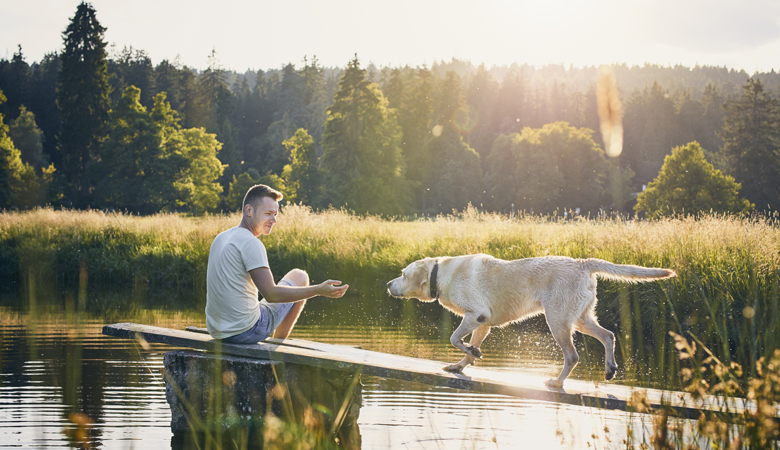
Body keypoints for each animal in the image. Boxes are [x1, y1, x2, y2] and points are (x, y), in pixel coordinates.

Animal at [386, 255, 676, 388]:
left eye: (403, 274)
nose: (388, 284)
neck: (442, 274)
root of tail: (582, 262)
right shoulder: (483, 322)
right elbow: (467, 347)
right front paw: (461, 364)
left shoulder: (476, 314)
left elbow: (455, 338)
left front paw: (471, 353)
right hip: (579, 318)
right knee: (609, 335)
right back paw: (610, 369)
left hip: (557, 321)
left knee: (573, 356)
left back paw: (557, 382)